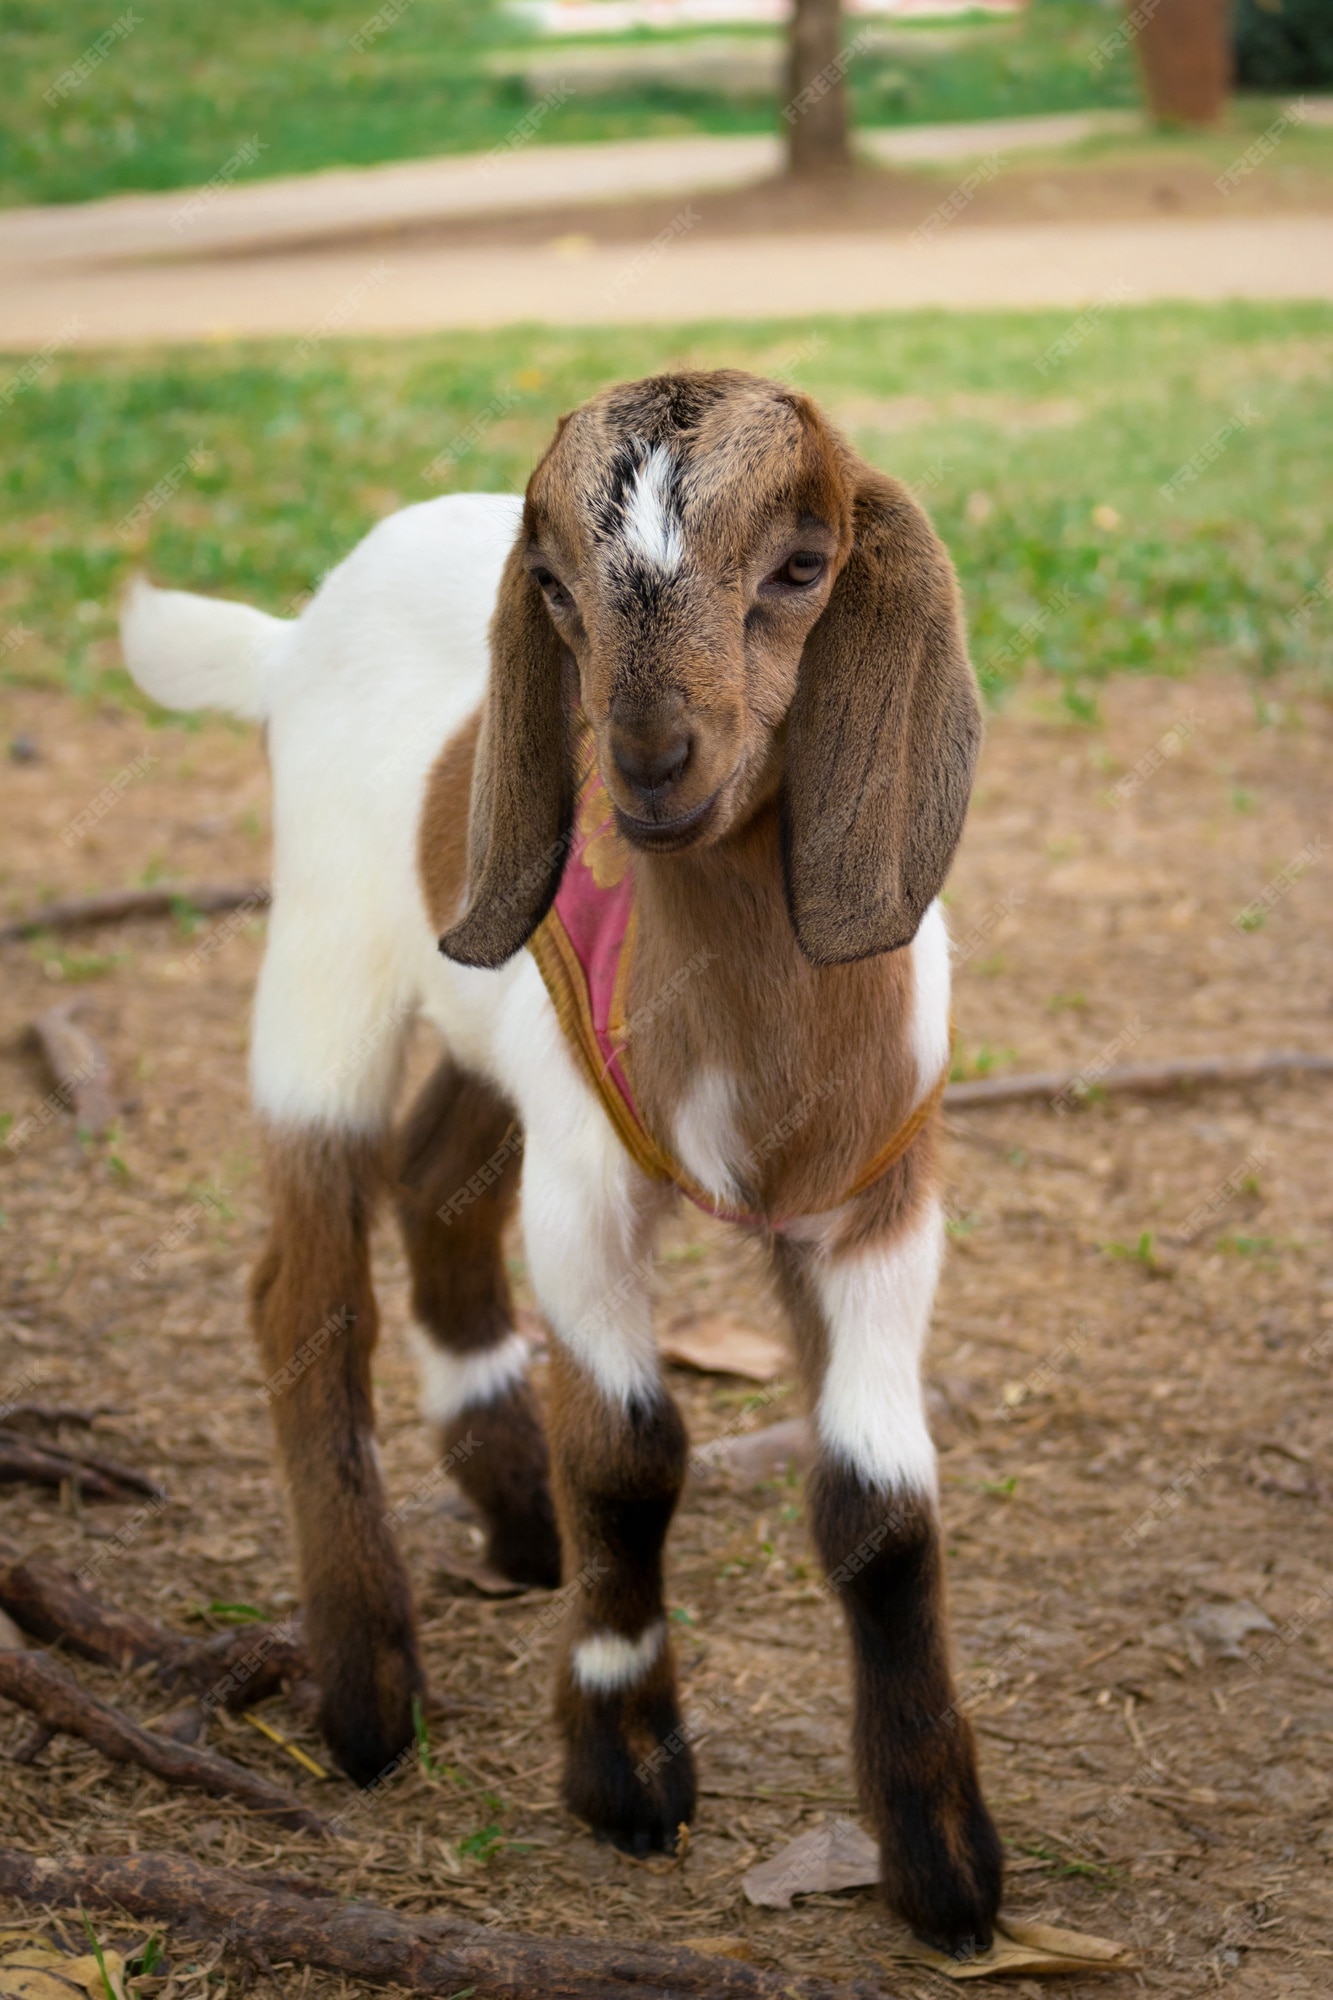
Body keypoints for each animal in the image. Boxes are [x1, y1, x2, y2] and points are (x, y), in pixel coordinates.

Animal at [122, 372, 996, 1952]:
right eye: (555, 589)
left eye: (803, 564)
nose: (644, 762)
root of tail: (288, 638)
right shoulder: (590, 1196)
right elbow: (632, 1455)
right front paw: (623, 1767)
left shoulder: (883, 1206)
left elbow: (884, 1508)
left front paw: (944, 1859)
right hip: (325, 968)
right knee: (304, 1284)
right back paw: (368, 1688)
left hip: (492, 1020)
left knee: (429, 1183)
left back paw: (516, 1516)